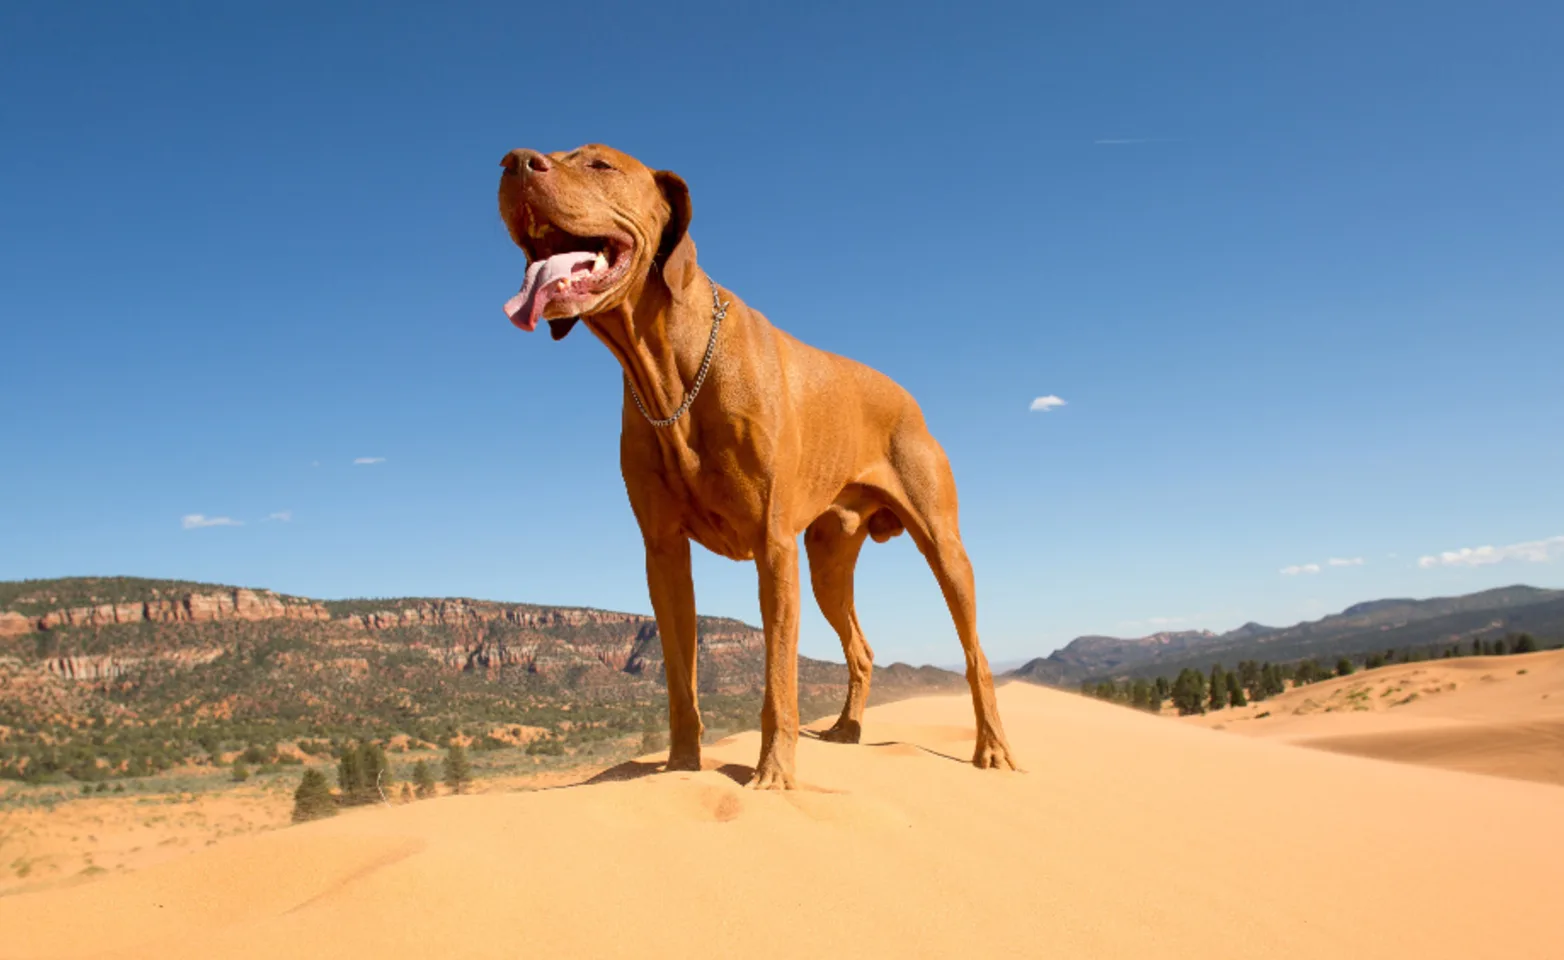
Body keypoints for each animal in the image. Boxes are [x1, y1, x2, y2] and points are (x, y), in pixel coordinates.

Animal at [494, 143, 1019, 791]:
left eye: (599, 164)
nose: (514, 162)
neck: (672, 373)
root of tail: (909, 399)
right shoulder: (663, 552)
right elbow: (680, 681)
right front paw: (681, 768)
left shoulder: (773, 546)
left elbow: (777, 680)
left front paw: (773, 775)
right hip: (827, 564)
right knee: (862, 649)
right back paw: (846, 729)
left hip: (941, 544)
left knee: (975, 653)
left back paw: (992, 748)